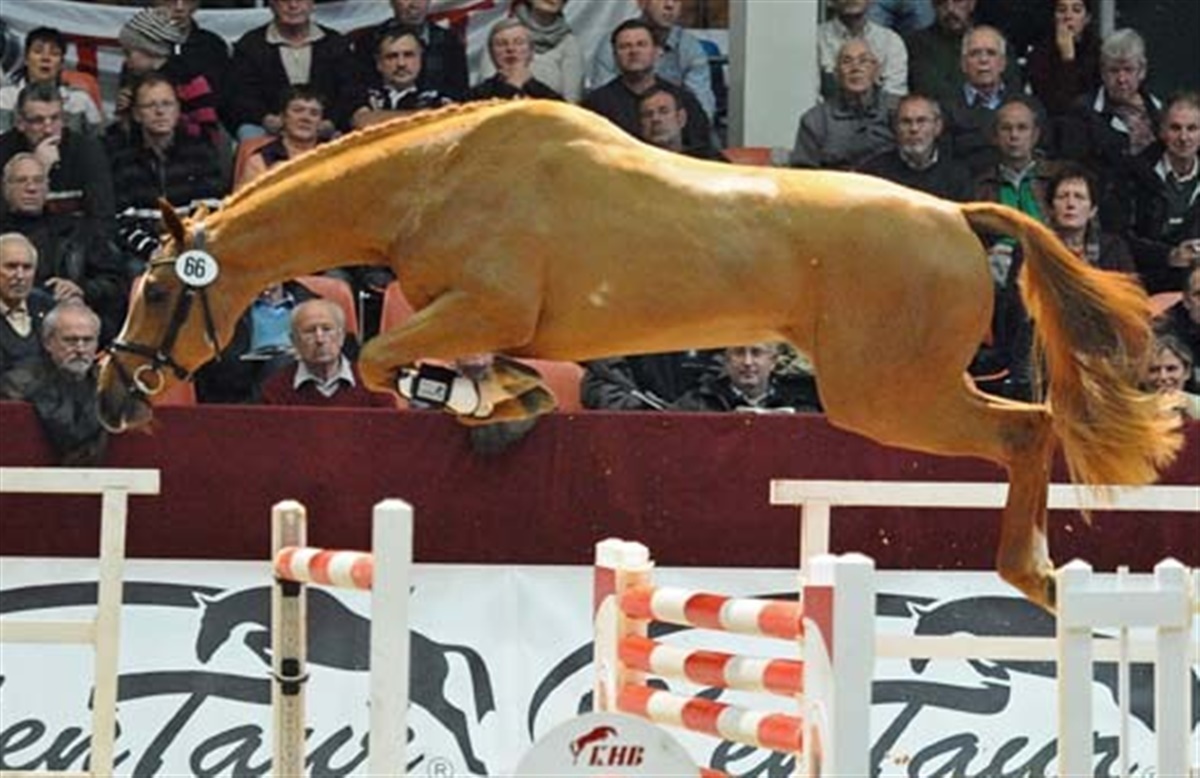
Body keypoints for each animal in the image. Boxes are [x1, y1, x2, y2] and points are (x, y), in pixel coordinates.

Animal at [96, 100, 1180, 610]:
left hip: (887, 397)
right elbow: (408, 362)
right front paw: (509, 392)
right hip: (892, 394)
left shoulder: (479, 301)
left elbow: (377, 363)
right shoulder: (476, 310)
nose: (111, 393)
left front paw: (479, 395)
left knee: (1028, 428)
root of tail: (959, 213)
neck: (429, 179)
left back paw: (1033, 572)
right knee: (1030, 429)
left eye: (158, 289)